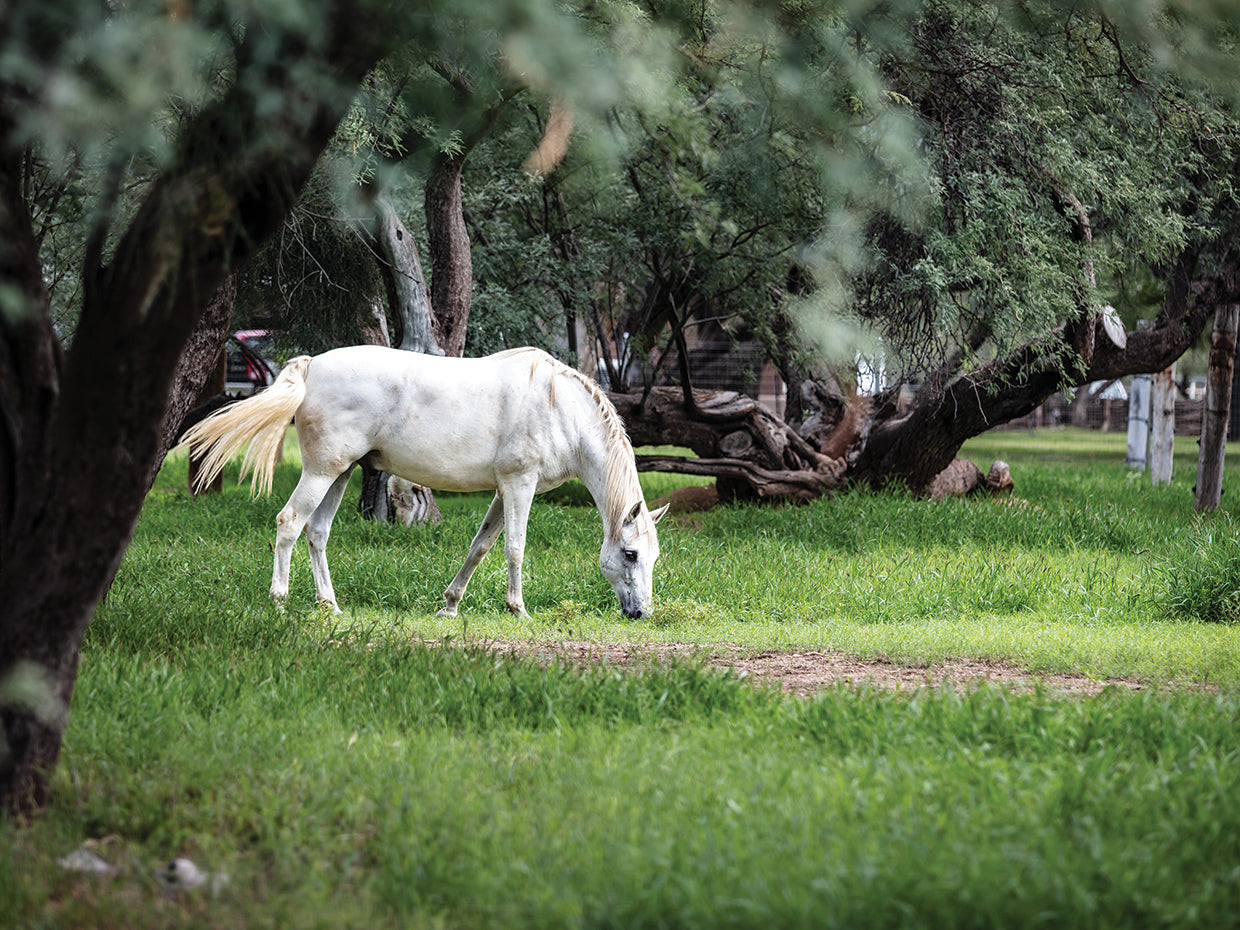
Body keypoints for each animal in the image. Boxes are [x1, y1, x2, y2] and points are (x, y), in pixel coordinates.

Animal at [179, 345, 669, 618]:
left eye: (651, 557)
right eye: (629, 554)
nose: (640, 614)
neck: (558, 406)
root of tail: (312, 364)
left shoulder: (502, 490)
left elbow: (481, 546)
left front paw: (449, 605)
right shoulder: (519, 485)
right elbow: (514, 547)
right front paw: (518, 609)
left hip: (340, 473)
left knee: (317, 533)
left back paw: (329, 605)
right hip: (321, 472)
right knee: (289, 523)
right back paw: (280, 602)